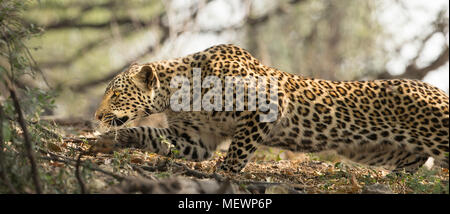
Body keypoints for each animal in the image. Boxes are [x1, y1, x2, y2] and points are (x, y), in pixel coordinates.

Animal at [93, 44, 448, 173]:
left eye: (114, 94)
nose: (96, 116)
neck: (177, 94)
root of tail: (438, 89)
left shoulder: (267, 103)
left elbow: (238, 151)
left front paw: (224, 175)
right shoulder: (196, 139)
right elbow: (150, 134)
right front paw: (113, 139)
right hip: (394, 155)